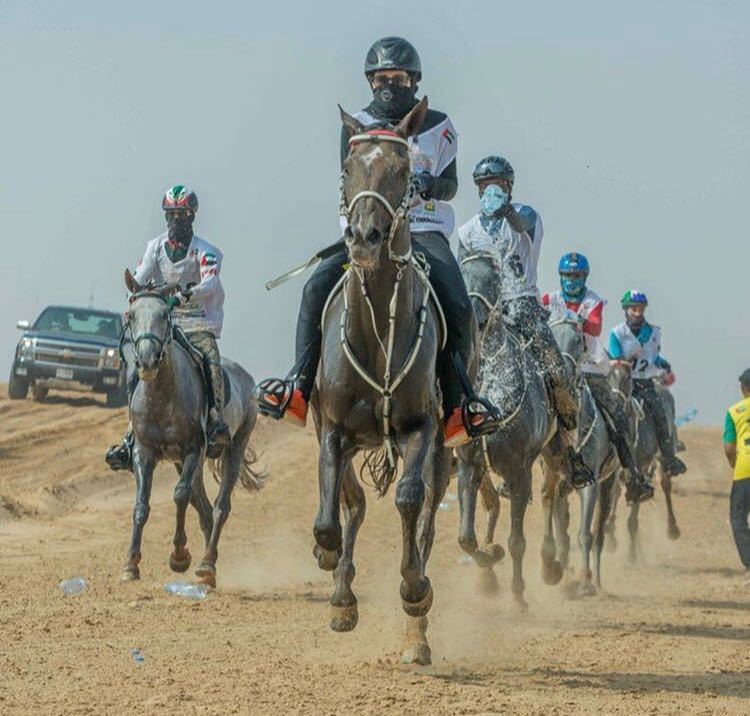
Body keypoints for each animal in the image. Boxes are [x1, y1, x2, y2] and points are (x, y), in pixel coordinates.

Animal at [121, 272, 264, 588]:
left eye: (164, 314)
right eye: (132, 315)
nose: (147, 361)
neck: (162, 397)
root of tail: (247, 379)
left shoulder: (193, 450)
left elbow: (179, 495)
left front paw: (178, 556)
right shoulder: (143, 452)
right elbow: (141, 505)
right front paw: (130, 564)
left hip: (233, 449)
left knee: (221, 507)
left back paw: (206, 565)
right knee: (205, 508)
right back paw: (209, 566)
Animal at [456, 249, 560, 608]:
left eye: (495, 277)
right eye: (461, 273)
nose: (473, 318)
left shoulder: (519, 471)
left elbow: (517, 540)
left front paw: (518, 596)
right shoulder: (469, 464)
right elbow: (466, 537)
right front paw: (490, 555)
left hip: (550, 457)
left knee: (549, 496)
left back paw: (550, 565)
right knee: (494, 506)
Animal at [544, 310, 620, 596]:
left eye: (578, 339)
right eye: (550, 334)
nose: (560, 372)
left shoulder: (591, 484)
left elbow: (584, 534)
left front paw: (585, 583)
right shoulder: (556, 480)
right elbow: (561, 534)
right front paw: (562, 577)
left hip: (609, 483)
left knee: (599, 532)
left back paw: (594, 579)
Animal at [604, 360, 680, 564]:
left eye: (627, 378)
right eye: (606, 375)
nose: (614, 402)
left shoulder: (641, 467)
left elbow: (634, 511)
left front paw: (631, 555)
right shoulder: (616, 470)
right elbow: (614, 493)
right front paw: (611, 536)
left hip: (664, 455)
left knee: (666, 484)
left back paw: (672, 529)